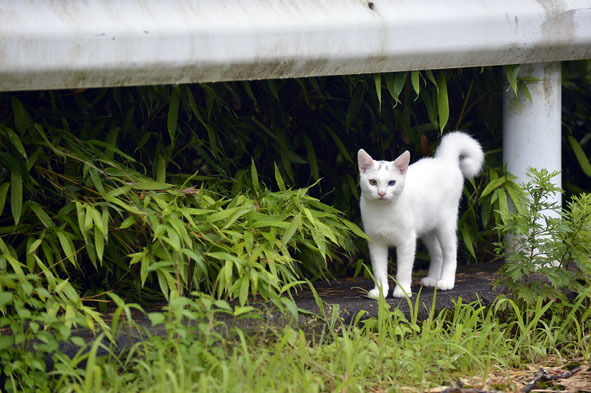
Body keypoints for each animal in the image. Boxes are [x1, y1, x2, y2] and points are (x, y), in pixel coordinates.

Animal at [358, 132, 484, 298]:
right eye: (372, 182)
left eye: (391, 183)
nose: (382, 193)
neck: (383, 211)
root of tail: (444, 160)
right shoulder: (376, 242)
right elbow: (379, 270)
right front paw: (380, 291)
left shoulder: (407, 241)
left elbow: (404, 269)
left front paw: (402, 291)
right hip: (427, 230)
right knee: (438, 253)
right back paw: (432, 279)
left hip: (446, 225)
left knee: (450, 253)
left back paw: (446, 282)